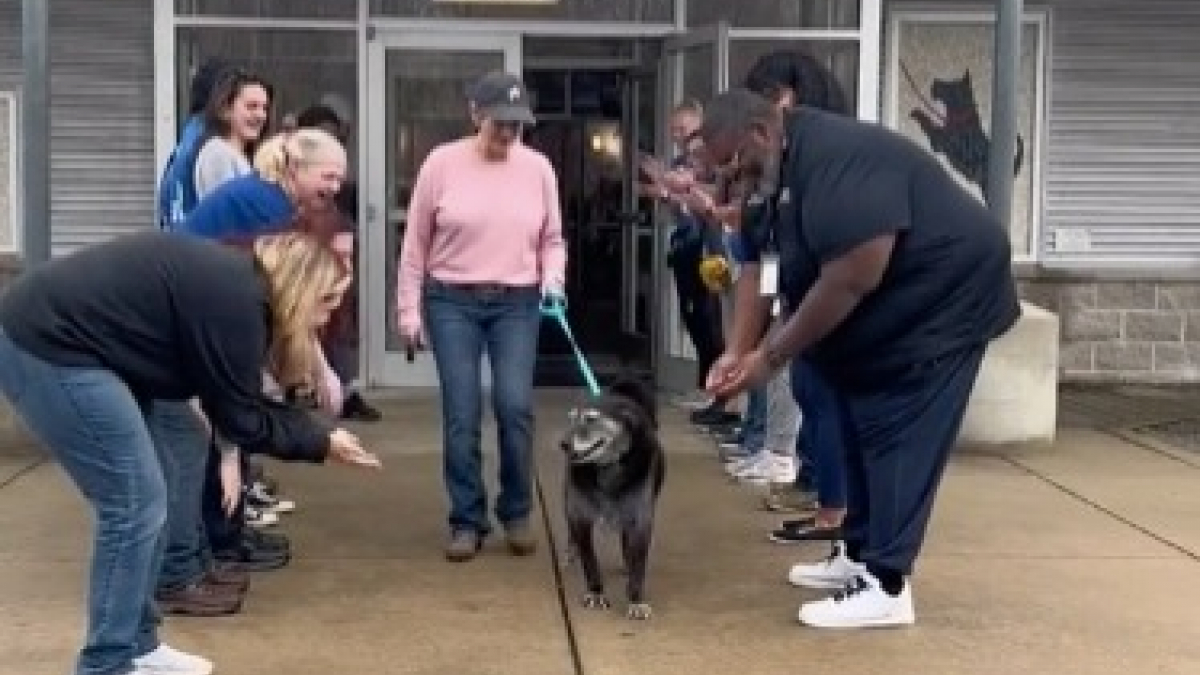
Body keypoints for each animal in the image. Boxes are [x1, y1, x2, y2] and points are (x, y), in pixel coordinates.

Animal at [559, 374, 667, 619]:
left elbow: (638, 565)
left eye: (590, 419)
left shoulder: (640, 520)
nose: (564, 444)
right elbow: (589, 560)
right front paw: (596, 592)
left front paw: (636, 600)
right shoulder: (581, 517)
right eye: (570, 419)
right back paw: (571, 551)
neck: (608, 468)